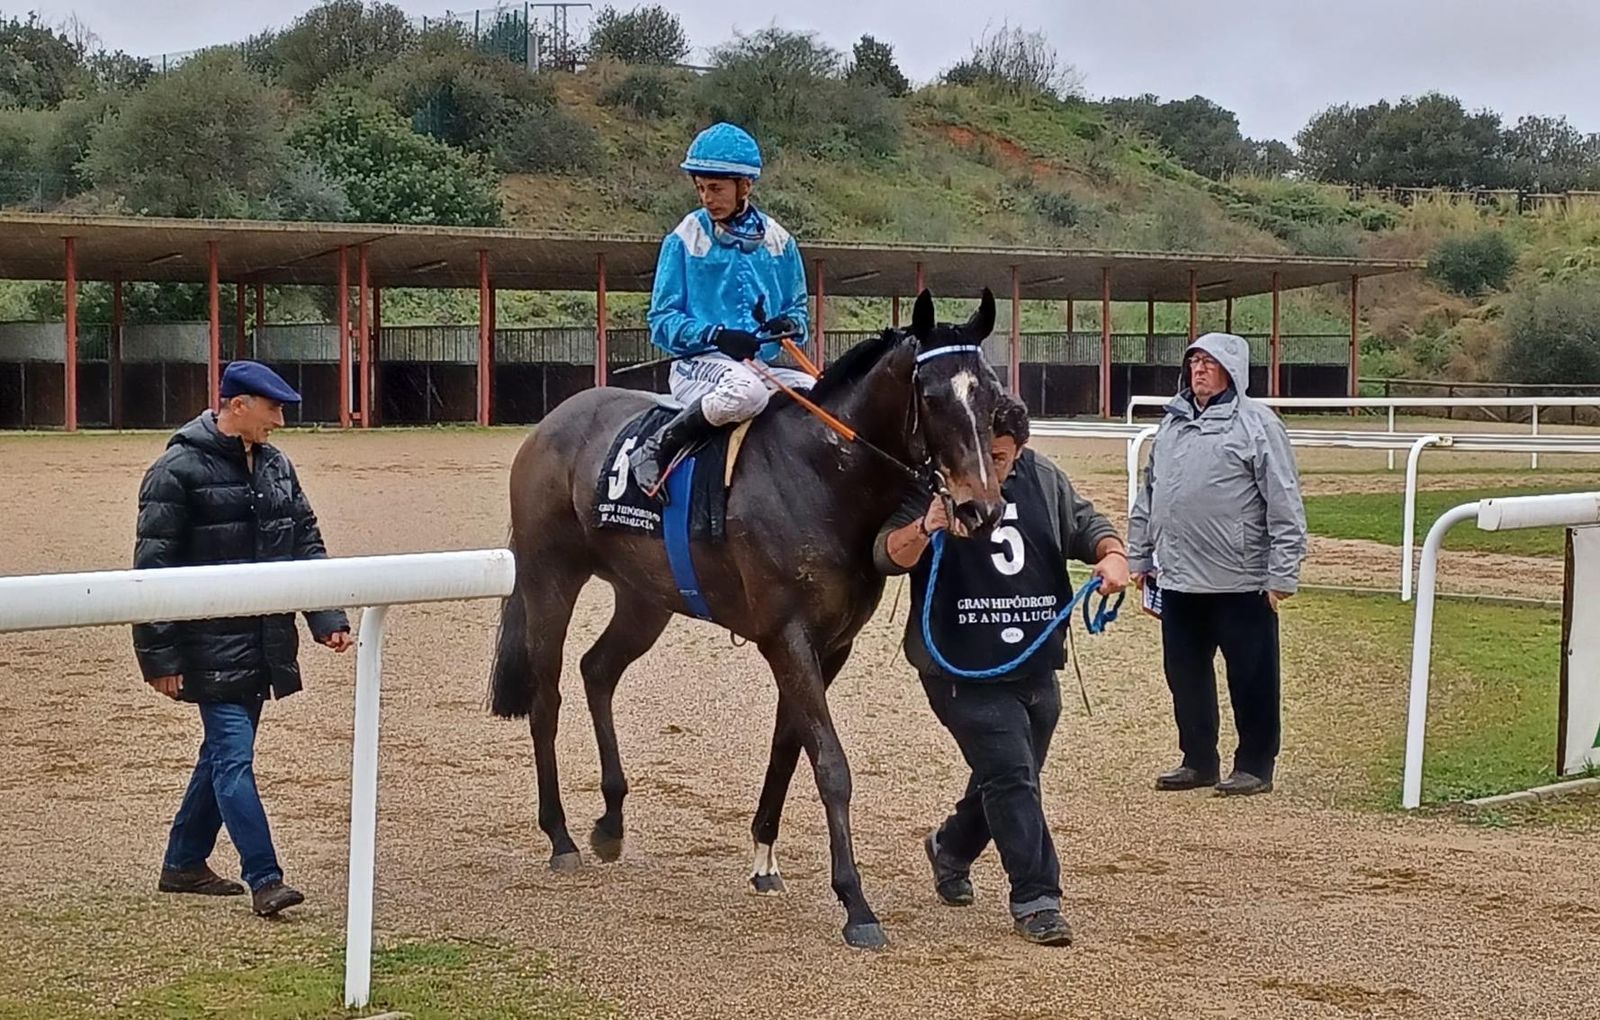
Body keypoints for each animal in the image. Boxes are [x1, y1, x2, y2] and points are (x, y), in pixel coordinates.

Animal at [489, 289, 1008, 948]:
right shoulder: (786, 638)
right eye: (934, 397)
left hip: (644, 597)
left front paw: (764, 858)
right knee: (547, 696)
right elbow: (830, 763)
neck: (823, 476)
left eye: (991, 396)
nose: (979, 508)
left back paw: (610, 820)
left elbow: (789, 746)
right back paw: (560, 836)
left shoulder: (830, 643)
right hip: (549, 577)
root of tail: (552, 422)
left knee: (597, 670)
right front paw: (856, 904)